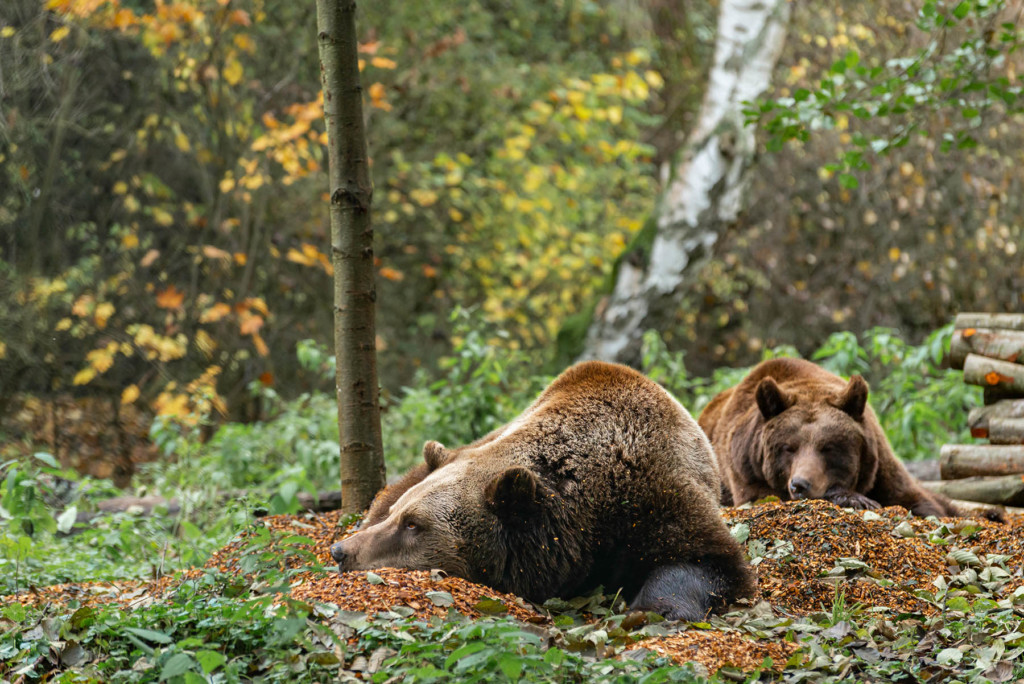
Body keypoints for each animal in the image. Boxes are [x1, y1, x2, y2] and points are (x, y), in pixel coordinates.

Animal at [331, 360, 757, 622]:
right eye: (399, 516)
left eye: (413, 524)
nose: (342, 551)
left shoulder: (658, 495)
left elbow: (706, 560)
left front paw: (651, 608)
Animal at [700, 356, 995, 520]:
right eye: (788, 448)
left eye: (828, 447)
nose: (800, 484)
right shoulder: (744, 467)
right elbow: (762, 497)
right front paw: (856, 499)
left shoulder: (880, 466)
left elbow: (922, 502)